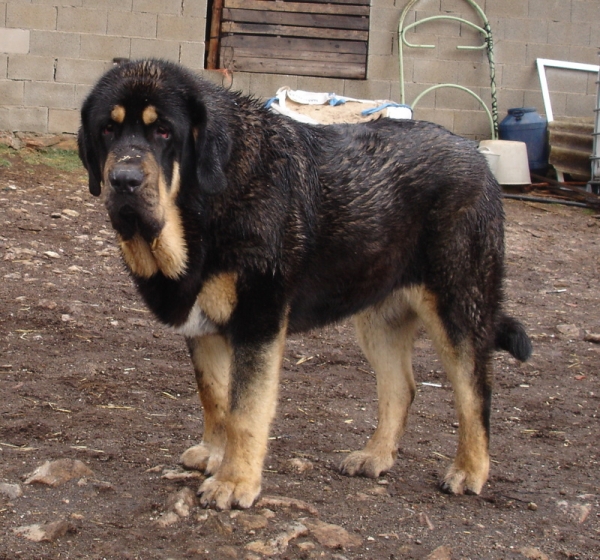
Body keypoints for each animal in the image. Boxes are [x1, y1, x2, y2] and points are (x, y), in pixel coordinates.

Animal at [78, 59, 528, 510]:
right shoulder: (204, 328)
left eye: (164, 132)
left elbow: (245, 411)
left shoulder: (258, 319)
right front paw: (215, 455)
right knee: (401, 388)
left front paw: (234, 481)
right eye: (107, 130)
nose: (124, 180)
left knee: (475, 395)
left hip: (459, 307)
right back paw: (376, 457)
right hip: (378, 317)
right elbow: (215, 398)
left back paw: (469, 470)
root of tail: (477, 157)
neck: (204, 206)